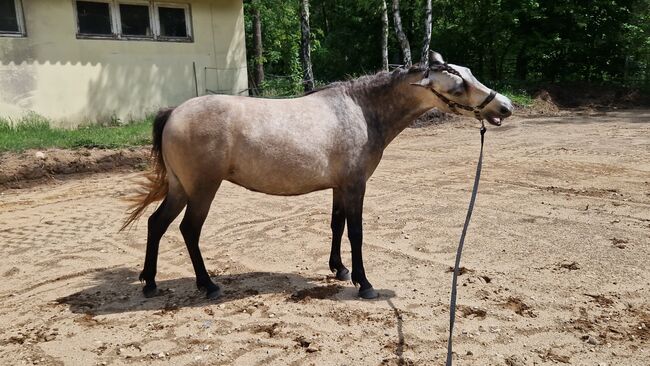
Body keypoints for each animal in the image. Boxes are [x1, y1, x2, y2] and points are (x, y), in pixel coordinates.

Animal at [123, 53, 512, 302]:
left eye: (470, 74)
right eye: (459, 86)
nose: (505, 106)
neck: (360, 111)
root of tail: (174, 112)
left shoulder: (340, 187)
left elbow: (336, 225)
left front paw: (339, 269)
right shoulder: (355, 186)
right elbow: (356, 232)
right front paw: (364, 284)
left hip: (180, 188)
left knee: (156, 224)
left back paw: (150, 283)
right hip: (202, 190)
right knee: (189, 230)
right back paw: (209, 286)